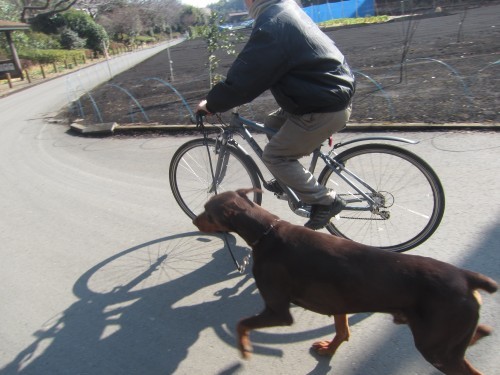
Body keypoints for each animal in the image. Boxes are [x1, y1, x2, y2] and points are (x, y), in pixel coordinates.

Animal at [191, 189, 496, 374]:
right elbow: (342, 330)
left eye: (207, 210)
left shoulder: (278, 311)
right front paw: (329, 348)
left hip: (436, 348)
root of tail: (467, 278)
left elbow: (241, 324)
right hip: (444, 338)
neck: (266, 232)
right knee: (476, 335)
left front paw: (244, 349)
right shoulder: (338, 299)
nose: (194, 221)